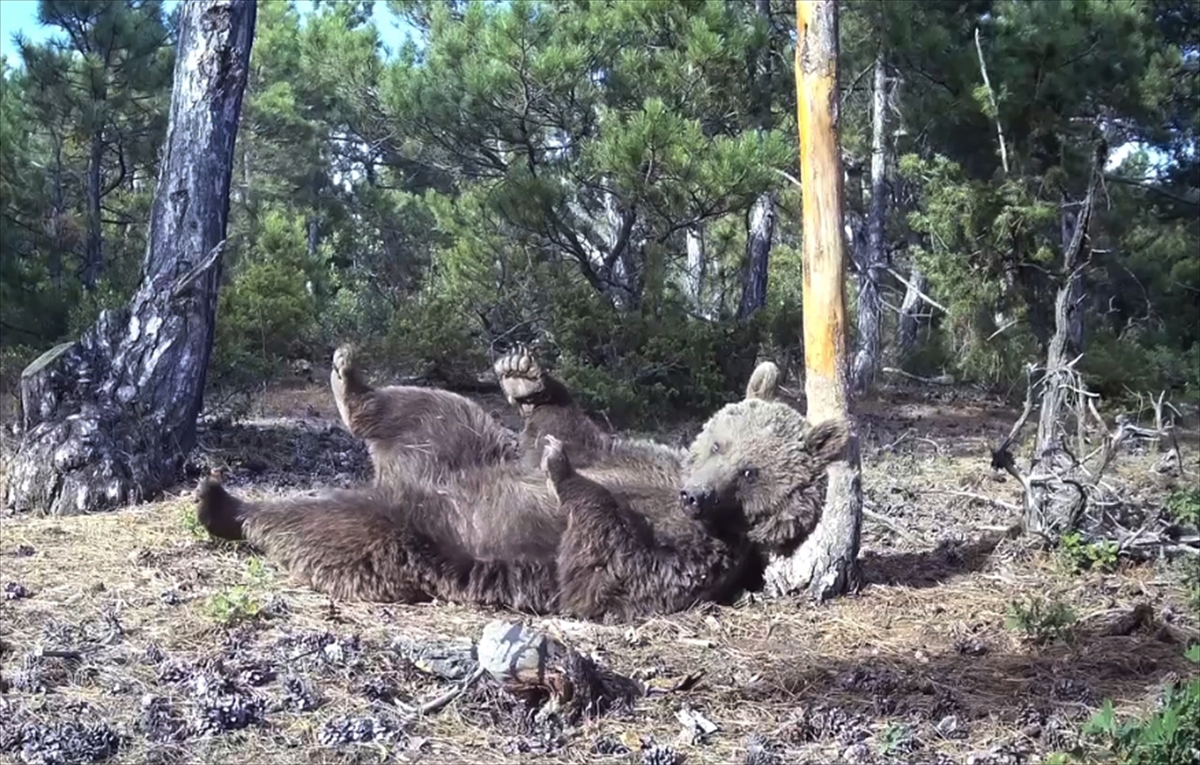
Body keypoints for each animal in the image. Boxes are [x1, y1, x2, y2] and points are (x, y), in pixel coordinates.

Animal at [196, 345, 849, 623]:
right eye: (719, 444)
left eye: (751, 473)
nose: (695, 495)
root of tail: (395, 484)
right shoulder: (640, 456)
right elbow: (571, 435)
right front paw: (527, 380)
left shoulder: (696, 559)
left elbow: (606, 570)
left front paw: (564, 474)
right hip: (461, 451)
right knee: (433, 410)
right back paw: (348, 384)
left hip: (413, 537)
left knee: (328, 528)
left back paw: (222, 504)